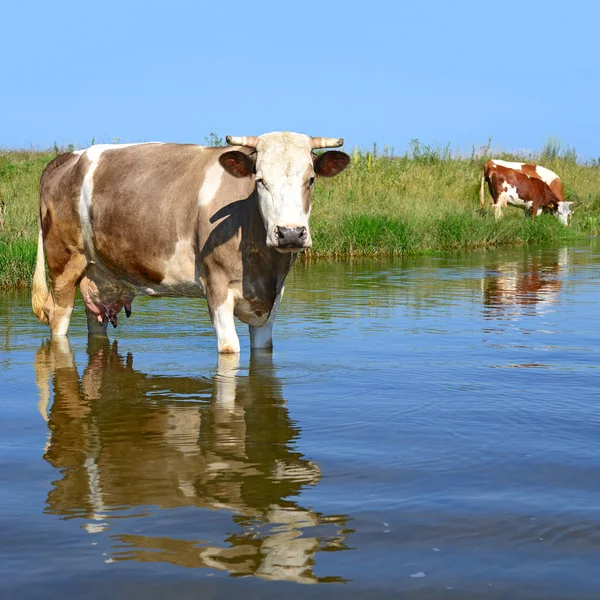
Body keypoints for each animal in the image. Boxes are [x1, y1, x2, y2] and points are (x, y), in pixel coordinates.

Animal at [31, 131, 352, 352]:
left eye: (311, 179)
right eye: (260, 180)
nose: (290, 233)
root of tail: (67, 158)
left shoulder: (272, 299)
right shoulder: (217, 286)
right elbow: (229, 349)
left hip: (98, 276)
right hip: (63, 264)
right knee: (58, 321)